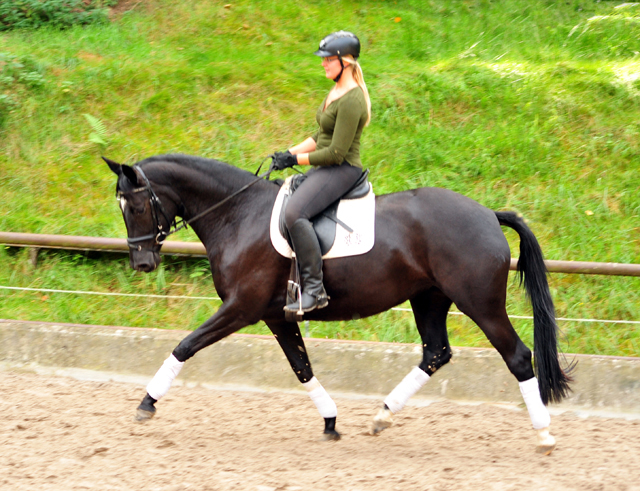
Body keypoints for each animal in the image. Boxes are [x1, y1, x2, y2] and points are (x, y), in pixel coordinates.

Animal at [107, 153, 572, 454]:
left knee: (517, 356)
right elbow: (302, 368)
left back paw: (545, 435)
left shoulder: (241, 308)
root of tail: (489, 215)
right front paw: (330, 422)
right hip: (429, 299)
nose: (142, 263)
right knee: (436, 353)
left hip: (480, 303)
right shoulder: (276, 316)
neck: (238, 215)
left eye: (136, 205)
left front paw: (146, 403)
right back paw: (382, 416)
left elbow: (185, 345)